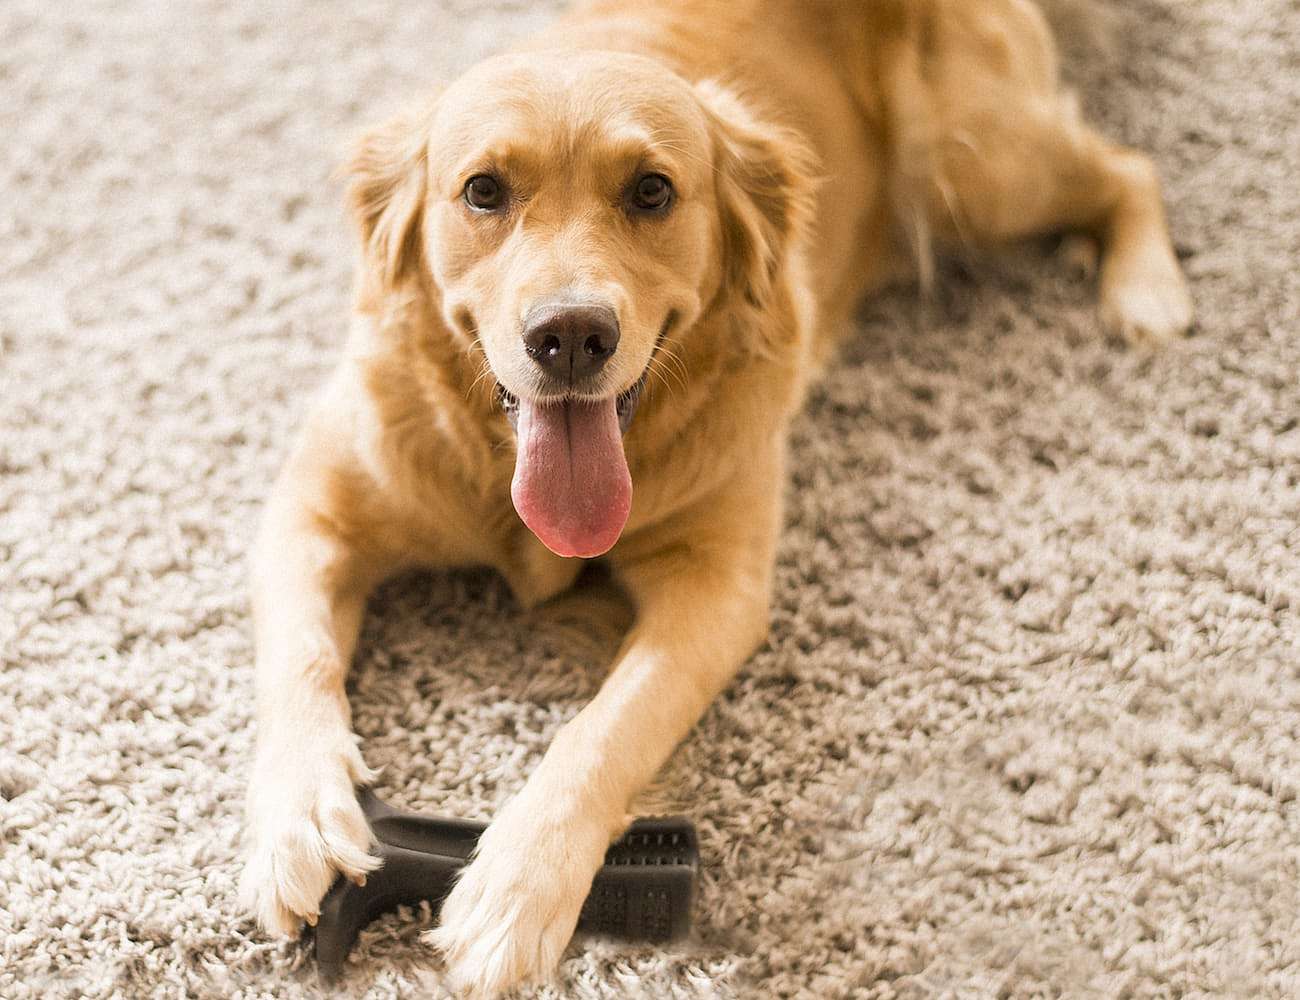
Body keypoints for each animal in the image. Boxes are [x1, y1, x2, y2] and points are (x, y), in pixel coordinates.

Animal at [239, 3, 1190, 993]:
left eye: (653, 192)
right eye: (484, 191)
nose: (571, 335)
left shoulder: (717, 591)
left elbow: (606, 730)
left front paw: (517, 886)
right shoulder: (311, 508)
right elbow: (299, 662)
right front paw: (299, 825)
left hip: (974, 162)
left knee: (1127, 169)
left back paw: (1147, 289)